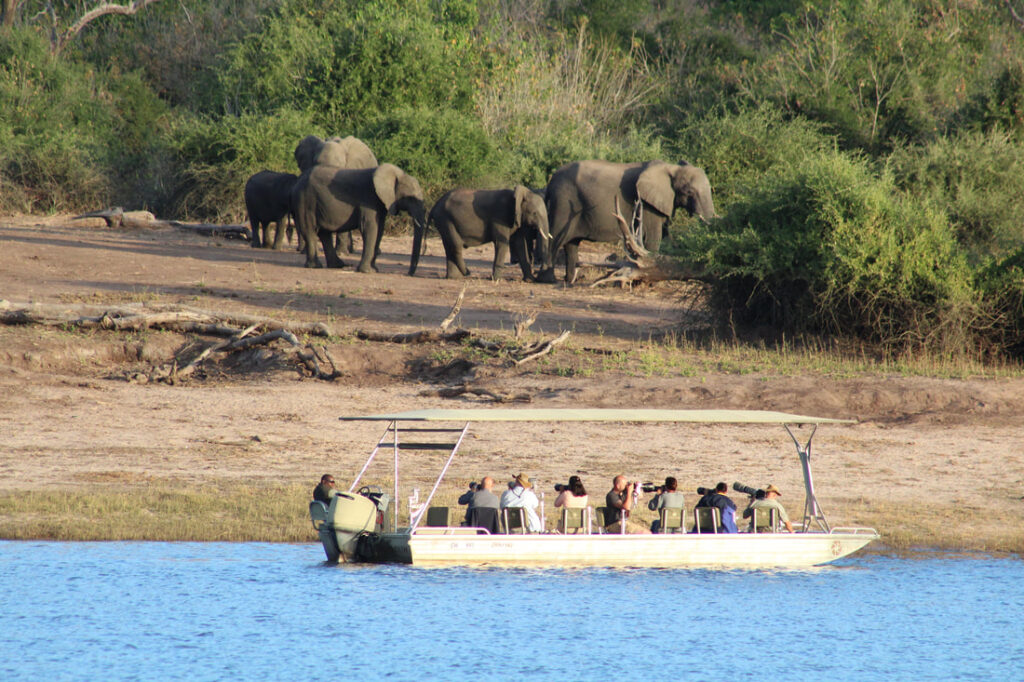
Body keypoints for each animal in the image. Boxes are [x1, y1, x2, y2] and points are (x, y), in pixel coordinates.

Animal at [292, 163, 427, 272]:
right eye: (411, 199)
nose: (409, 273)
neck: (397, 174)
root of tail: (299, 178)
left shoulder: (380, 203)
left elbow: (379, 230)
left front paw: (374, 270)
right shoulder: (368, 200)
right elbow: (370, 228)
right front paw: (367, 271)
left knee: (325, 234)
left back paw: (338, 265)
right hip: (305, 200)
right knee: (309, 230)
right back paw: (316, 266)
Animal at [410, 185, 550, 281]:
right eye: (534, 213)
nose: (537, 276)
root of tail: (435, 205)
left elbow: (519, 244)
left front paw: (529, 280)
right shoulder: (500, 216)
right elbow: (501, 243)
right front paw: (496, 280)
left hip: (443, 221)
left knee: (448, 245)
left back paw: (454, 277)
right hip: (445, 219)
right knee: (456, 245)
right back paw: (467, 273)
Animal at [541, 160, 715, 283]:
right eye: (689, 191)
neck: (671, 168)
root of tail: (551, 182)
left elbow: (665, 238)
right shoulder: (647, 206)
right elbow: (653, 239)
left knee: (572, 243)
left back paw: (570, 280)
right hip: (564, 203)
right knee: (555, 237)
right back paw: (548, 280)